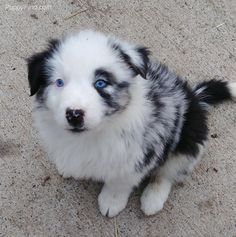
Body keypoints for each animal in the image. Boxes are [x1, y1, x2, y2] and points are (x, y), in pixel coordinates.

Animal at [27, 30, 236, 217]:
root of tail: (194, 98)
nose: (74, 114)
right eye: (59, 82)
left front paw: (111, 201)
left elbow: (119, 182)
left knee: (167, 173)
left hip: (188, 140)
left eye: (101, 83)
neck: (96, 132)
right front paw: (67, 165)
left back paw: (153, 199)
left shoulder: (138, 155)